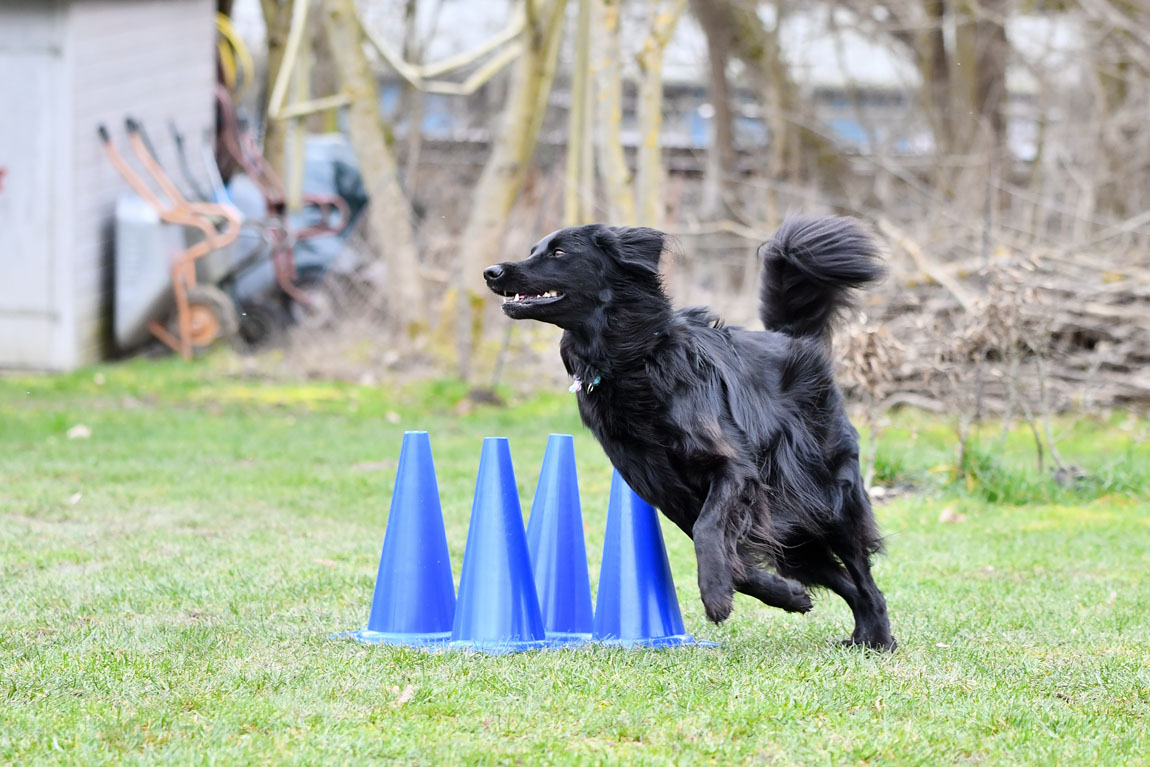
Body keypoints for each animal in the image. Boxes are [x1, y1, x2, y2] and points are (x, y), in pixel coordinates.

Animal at [480, 217, 892, 648]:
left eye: (558, 253)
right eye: (532, 250)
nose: (491, 272)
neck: (632, 361)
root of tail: (792, 338)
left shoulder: (733, 469)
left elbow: (708, 530)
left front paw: (715, 594)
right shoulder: (670, 494)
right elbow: (725, 553)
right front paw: (784, 595)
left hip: (830, 500)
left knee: (864, 578)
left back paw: (879, 639)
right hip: (796, 534)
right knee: (844, 581)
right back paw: (856, 631)